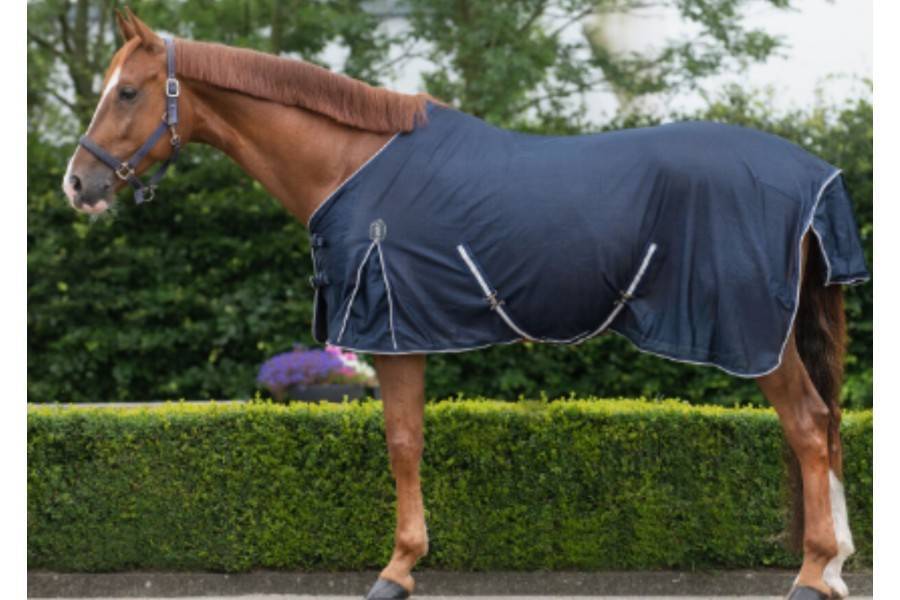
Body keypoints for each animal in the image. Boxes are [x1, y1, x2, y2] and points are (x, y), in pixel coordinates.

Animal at [60, 10, 868, 600]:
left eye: (126, 92)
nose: (77, 184)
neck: (350, 163)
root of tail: (815, 173)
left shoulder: (391, 336)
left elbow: (401, 444)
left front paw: (396, 570)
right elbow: (411, 441)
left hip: (758, 337)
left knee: (806, 426)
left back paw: (811, 573)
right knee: (826, 429)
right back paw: (833, 568)